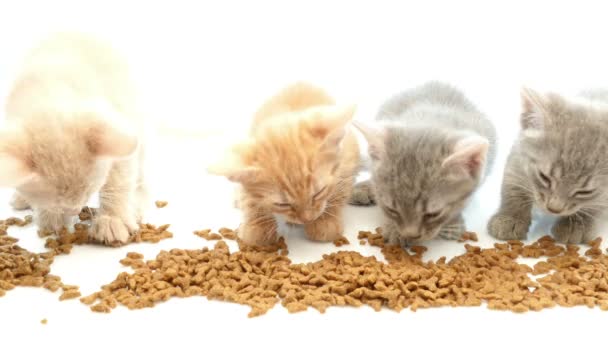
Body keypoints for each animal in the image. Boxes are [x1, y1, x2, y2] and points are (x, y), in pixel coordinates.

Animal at [0, 32, 146, 244]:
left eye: (89, 191)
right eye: (58, 203)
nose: (75, 210)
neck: (50, 93)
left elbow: (118, 181)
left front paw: (112, 220)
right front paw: (50, 219)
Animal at [210, 82, 360, 244]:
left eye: (319, 192)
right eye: (282, 204)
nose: (307, 219)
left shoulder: (348, 157)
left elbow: (340, 190)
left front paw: (325, 221)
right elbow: (249, 197)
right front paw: (257, 226)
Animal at [352, 81, 494, 244]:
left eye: (433, 214)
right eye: (391, 209)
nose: (411, 235)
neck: (432, 119)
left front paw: (453, 223)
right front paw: (393, 229)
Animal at [486, 88, 608, 243]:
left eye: (585, 192)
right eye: (544, 177)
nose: (554, 209)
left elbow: (597, 207)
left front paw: (574, 226)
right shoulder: (517, 155)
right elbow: (512, 185)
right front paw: (510, 218)